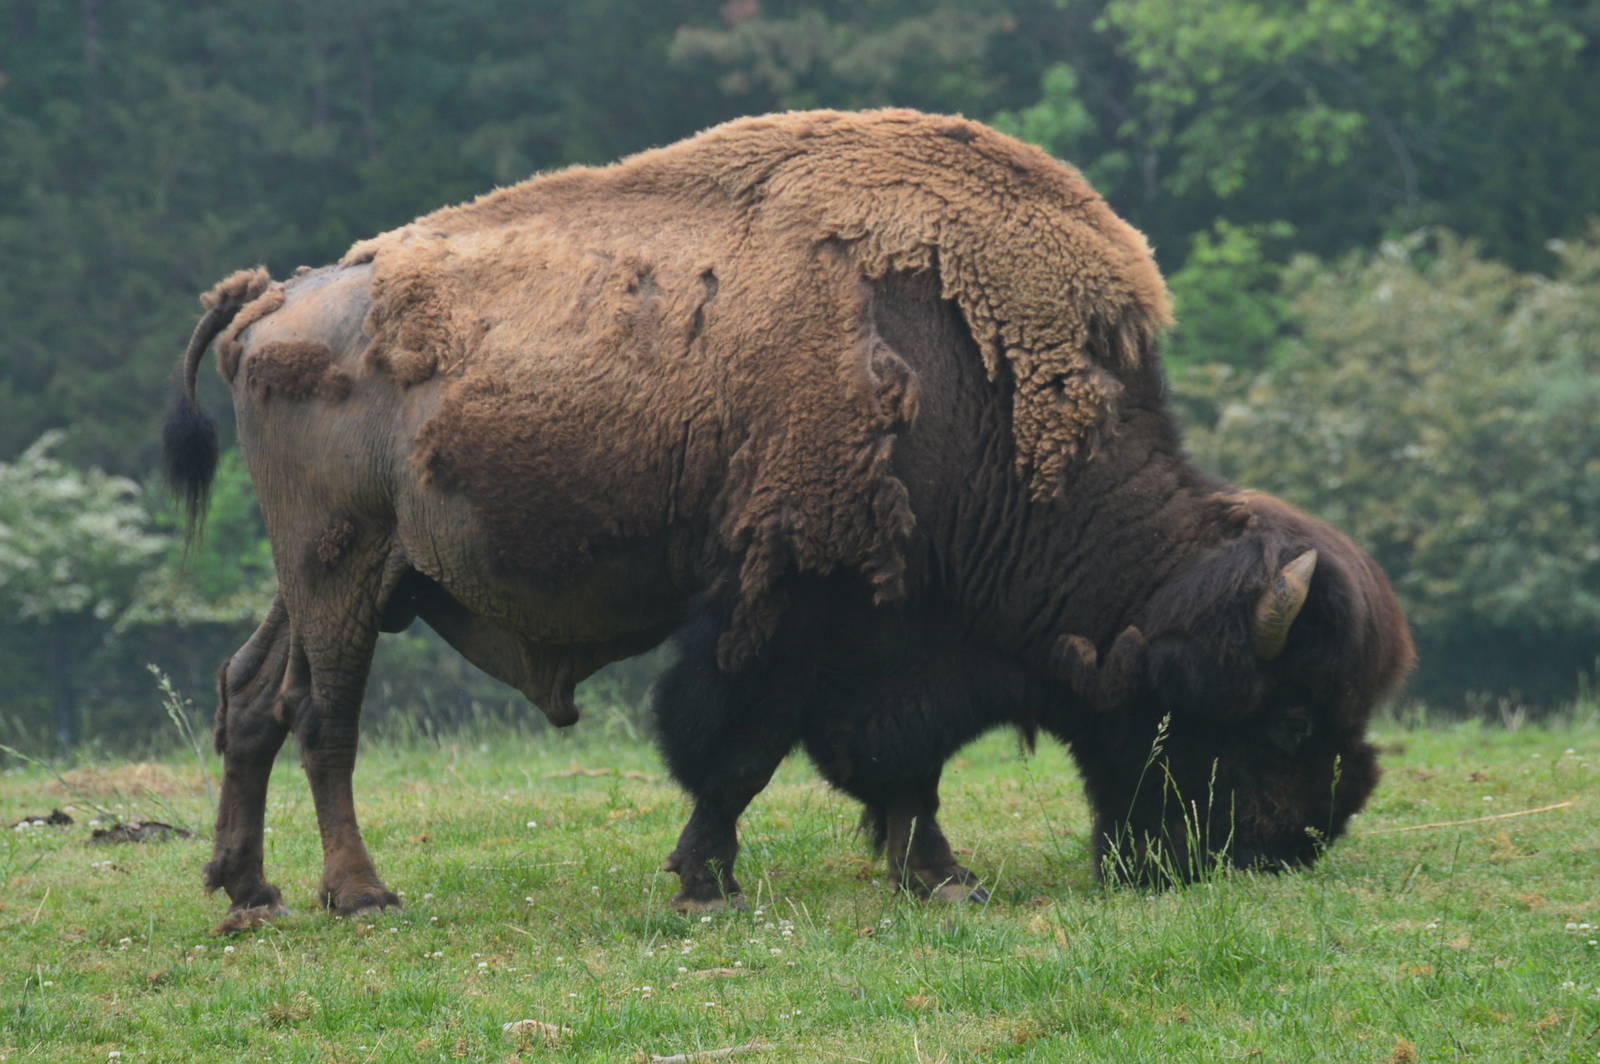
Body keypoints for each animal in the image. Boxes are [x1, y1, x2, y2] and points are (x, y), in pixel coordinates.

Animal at [164, 110, 1412, 924]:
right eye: (1285, 720)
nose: (1294, 841)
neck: (980, 387)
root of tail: (276, 298)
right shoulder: (789, 603)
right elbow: (740, 751)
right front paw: (709, 881)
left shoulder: (894, 634)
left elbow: (900, 767)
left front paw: (940, 874)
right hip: (340, 563)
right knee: (325, 717)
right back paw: (359, 893)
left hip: (336, 573)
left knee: (250, 697)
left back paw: (249, 889)